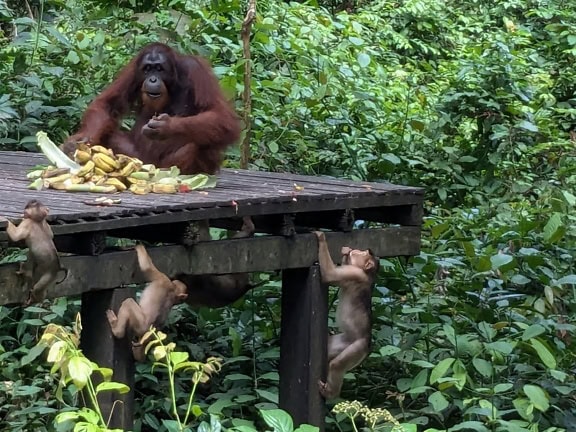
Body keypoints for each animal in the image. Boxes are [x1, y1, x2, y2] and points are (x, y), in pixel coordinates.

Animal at [316, 231, 378, 400]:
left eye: (364, 253)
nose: (359, 249)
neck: (367, 275)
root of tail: (368, 345)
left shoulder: (354, 273)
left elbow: (330, 275)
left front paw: (321, 236)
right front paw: (345, 251)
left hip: (358, 348)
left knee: (337, 365)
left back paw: (331, 392)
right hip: (345, 342)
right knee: (330, 348)